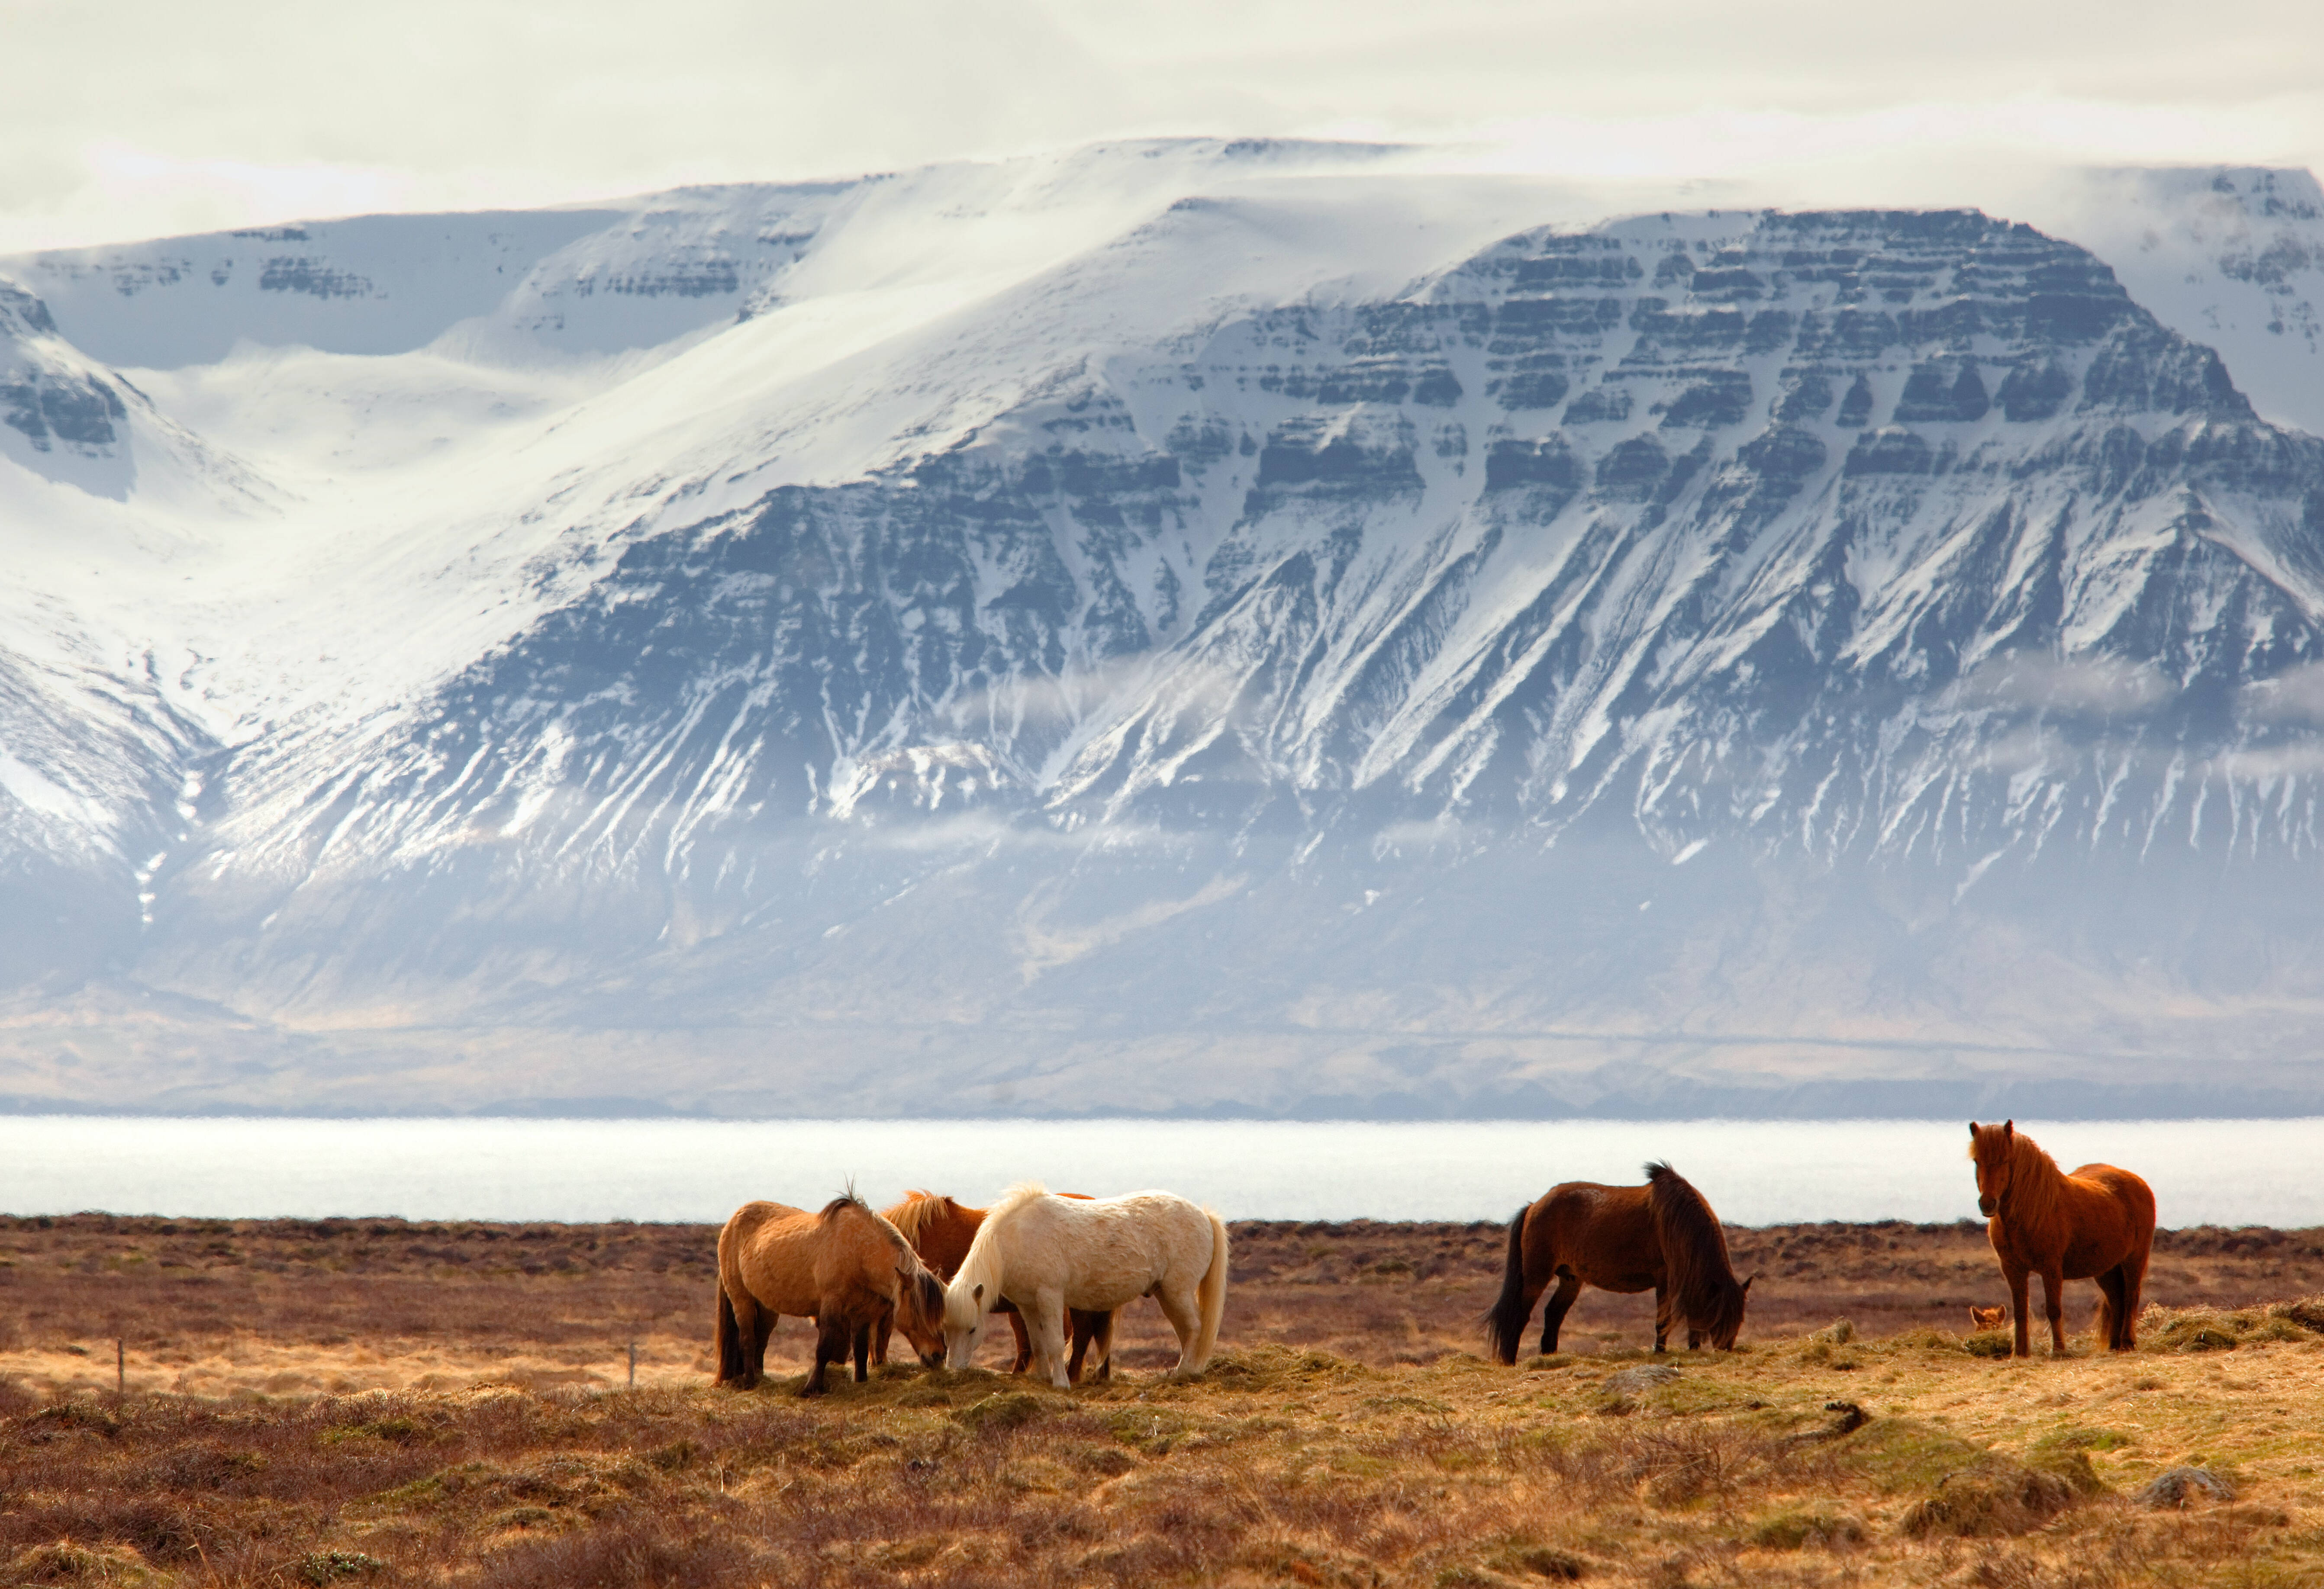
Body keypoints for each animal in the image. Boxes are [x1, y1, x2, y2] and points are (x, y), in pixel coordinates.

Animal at [713, 1194, 949, 1395]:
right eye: (920, 1313)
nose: (938, 1356)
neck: (859, 1251)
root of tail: (731, 1224)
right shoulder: (831, 1305)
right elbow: (824, 1347)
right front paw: (811, 1389)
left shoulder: (862, 1313)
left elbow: (861, 1349)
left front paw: (861, 1382)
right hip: (741, 1299)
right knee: (747, 1339)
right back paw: (750, 1382)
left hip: (766, 1308)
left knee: (761, 1341)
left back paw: (761, 1379)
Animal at [943, 1184, 1228, 1388]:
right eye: (946, 1329)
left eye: (973, 1329)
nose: (954, 1371)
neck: (1017, 1238)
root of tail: (1204, 1215)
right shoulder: (1027, 1305)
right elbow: (1037, 1343)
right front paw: (1043, 1378)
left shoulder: (1050, 1297)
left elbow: (1055, 1343)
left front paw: (1061, 1384)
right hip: (1167, 1295)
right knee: (1185, 1331)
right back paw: (1186, 1370)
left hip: (1178, 1292)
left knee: (1194, 1327)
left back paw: (1182, 1373)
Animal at [1484, 1161, 1753, 1364]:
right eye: (1721, 1316)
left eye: (1740, 1319)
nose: (1725, 1350)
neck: (1679, 1220)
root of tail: (1535, 1206)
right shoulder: (1665, 1279)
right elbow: (1663, 1320)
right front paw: (1660, 1352)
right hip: (1537, 1275)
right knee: (1520, 1314)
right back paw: (1510, 1360)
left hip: (1571, 1278)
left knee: (1553, 1314)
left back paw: (1550, 1356)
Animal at [1967, 1120, 2155, 1357]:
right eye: (1977, 1161)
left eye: (2005, 1160)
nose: (1988, 1204)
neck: (2032, 1209)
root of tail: (2139, 1183)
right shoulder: (2013, 1269)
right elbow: (2020, 1311)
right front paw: (2020, 1353)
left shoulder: (2052, 1269)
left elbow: (2054, 1309)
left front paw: (2058, 1350)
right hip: (2107, 1268)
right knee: (2117, 1300)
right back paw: (2115, 1346)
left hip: (2134, 1260)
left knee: (2131, 1296)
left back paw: (2128, 1342)